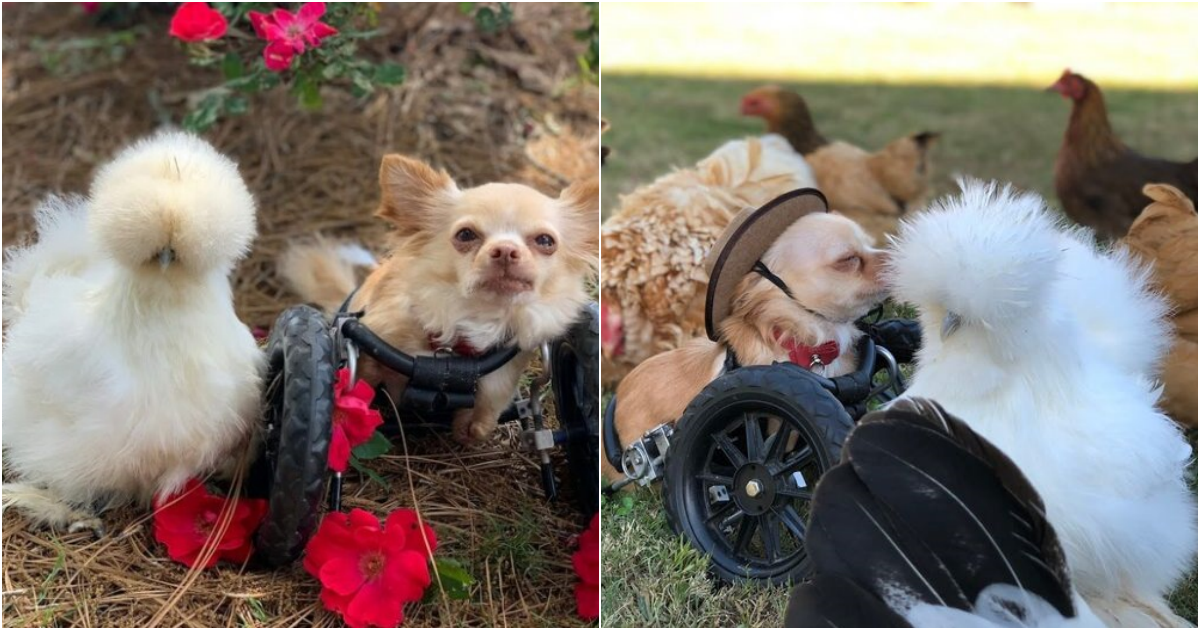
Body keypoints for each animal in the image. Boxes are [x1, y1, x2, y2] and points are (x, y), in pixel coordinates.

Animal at [282, 153, 600, 441]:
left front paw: (469, 430)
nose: (506, 250)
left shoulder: (498, 381)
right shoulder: (371, 349)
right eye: (466, 235)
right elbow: (358, 382)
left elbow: (483, 416)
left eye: (546, 241)